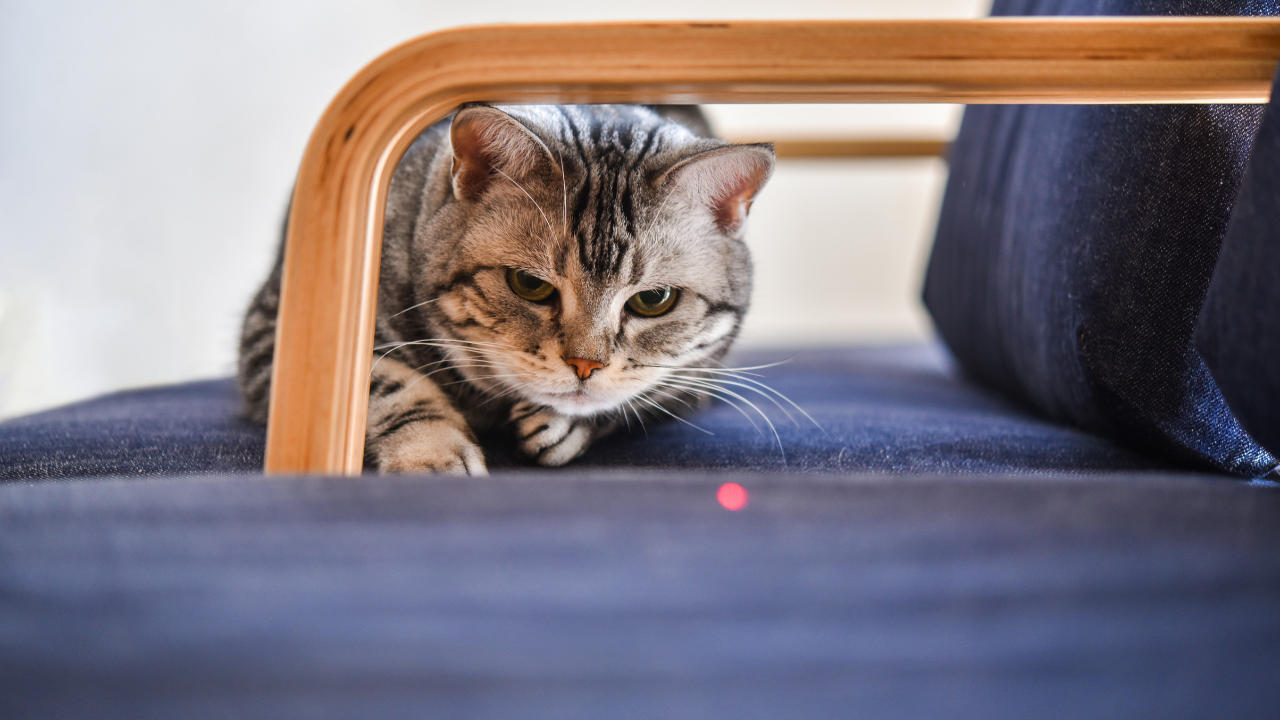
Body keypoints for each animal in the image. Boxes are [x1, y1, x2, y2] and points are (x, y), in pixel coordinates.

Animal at [241, 101, 778, 471]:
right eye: (529, 285)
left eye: (653, 300)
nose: (585, 365)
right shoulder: (278, 331)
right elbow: (389, 383)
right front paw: (432, 454)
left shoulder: (698, 378)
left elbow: (634, 400)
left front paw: (562, 422)